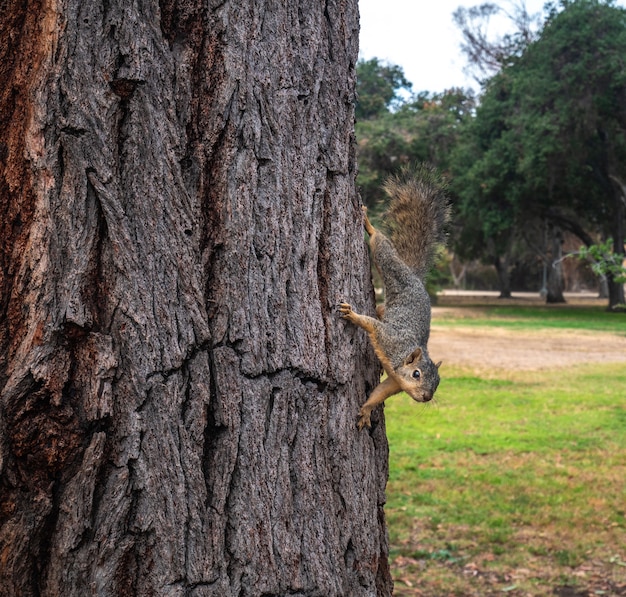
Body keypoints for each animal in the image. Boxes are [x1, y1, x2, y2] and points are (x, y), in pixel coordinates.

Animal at [342, 165, 448, 430]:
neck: (401, 361)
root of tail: (414, 276)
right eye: (416, 374)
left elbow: (377, 394)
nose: (426, 397)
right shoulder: (388, 339)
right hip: (390, 265)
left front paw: (366, 411)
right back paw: (368, 224)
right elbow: (369, 324)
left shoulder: (394, 383)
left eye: (438, 382)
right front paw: (352, 315)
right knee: (380, 244)